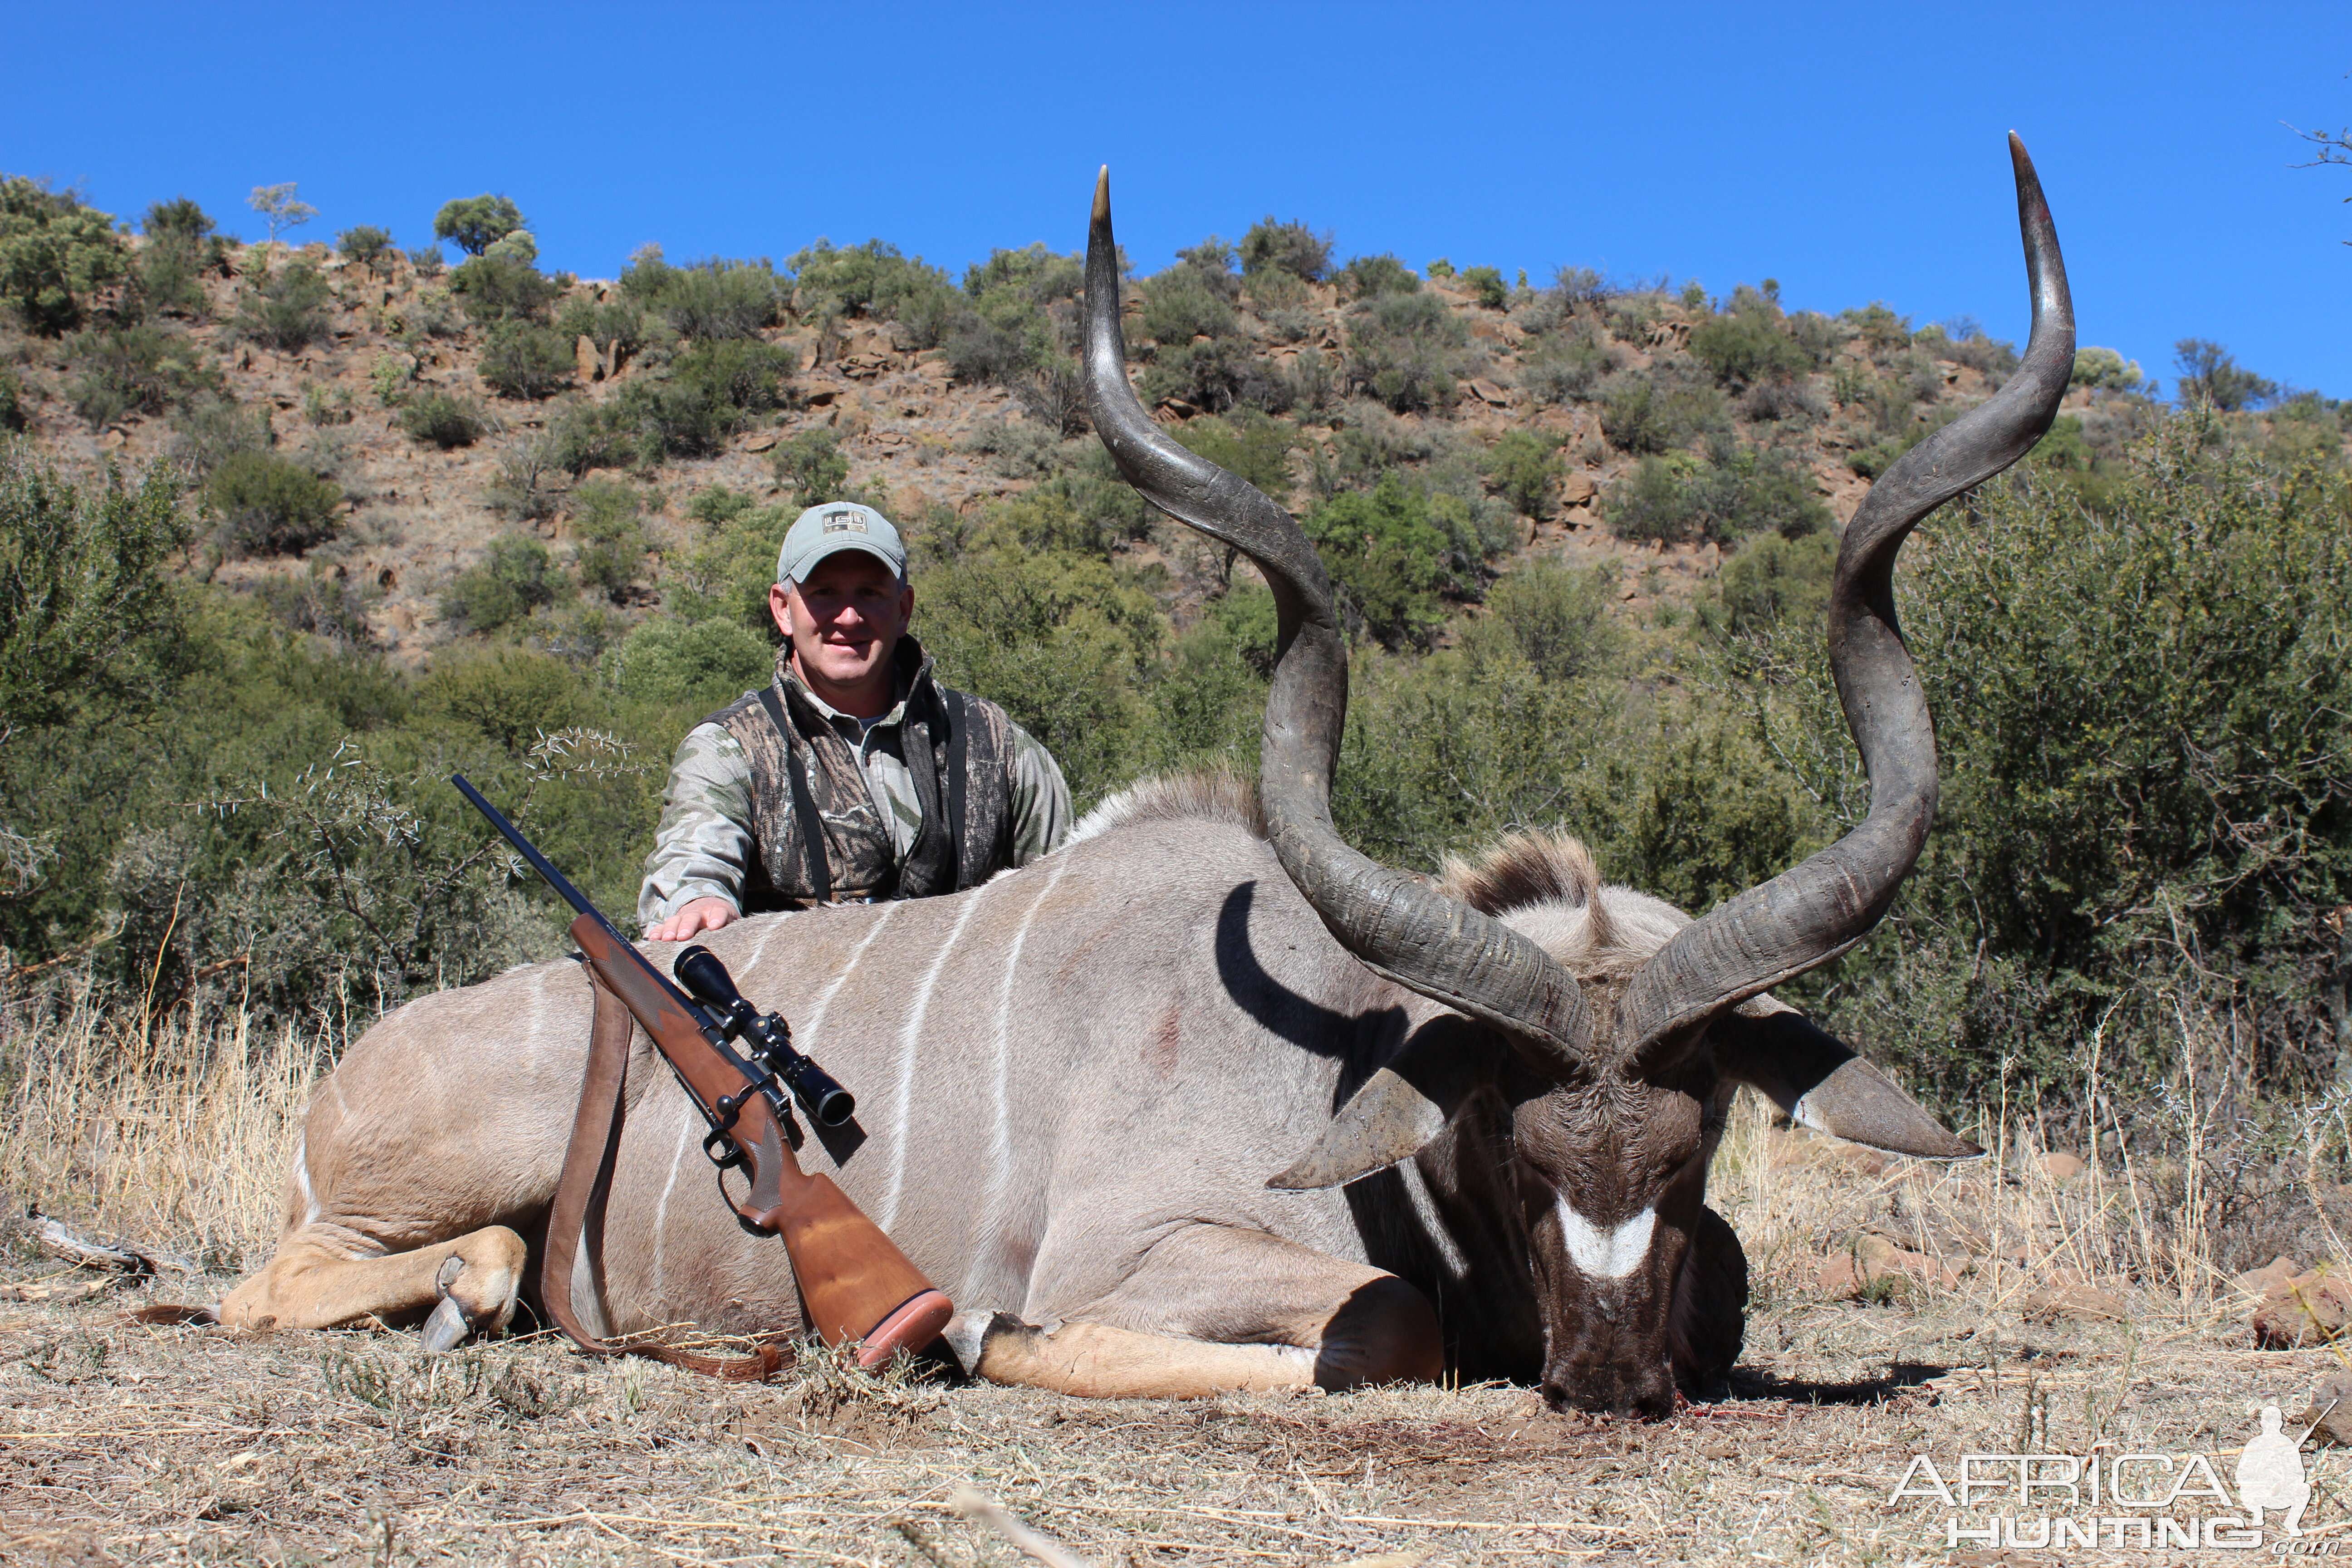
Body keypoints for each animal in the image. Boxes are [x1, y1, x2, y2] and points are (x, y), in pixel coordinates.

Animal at [211, 144, 2069, 1420]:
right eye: (1502, 1124)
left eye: (1695, 1146)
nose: (1609, 1374)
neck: (1348, 1041)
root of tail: (358, 1069)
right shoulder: (1147, 1247)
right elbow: (1367, 1327)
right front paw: (988, 1332)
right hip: (416, 1190)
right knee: (294, 1281)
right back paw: (466, 1297)